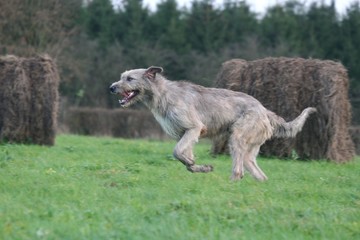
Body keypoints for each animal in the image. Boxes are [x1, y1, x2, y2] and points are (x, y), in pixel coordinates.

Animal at [109, 66, 316, 181]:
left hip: (237, 136)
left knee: (238, 169)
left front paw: (193, 164)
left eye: (130, 78)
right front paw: (199, 167)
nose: (111, 87)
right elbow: (185, 157)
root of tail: (264, 110)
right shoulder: (185, 134)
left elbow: (177, 152)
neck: (163, 94)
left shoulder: (194, 128)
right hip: (250, 146)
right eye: (121, 76)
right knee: (254, 168)